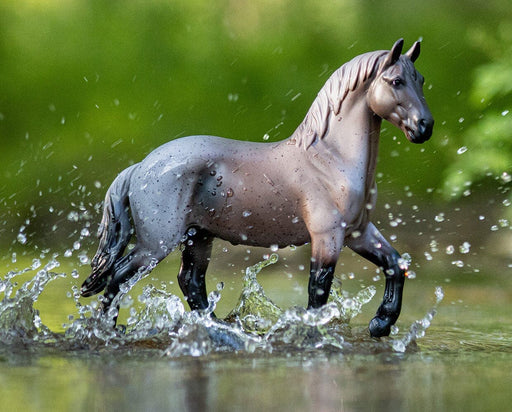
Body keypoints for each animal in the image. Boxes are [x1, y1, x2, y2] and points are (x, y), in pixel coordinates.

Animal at [80, 39, 432, 338]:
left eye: (421, 80)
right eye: (396, 81)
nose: (424, 126)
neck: (329, 160)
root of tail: (141, 166)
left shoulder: (358, 232)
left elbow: (395, 264)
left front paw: (380, 324)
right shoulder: (327, 237)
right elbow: (318, 289)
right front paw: (313, 331)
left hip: (198, 237)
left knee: (190, 281)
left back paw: (219, 327)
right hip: (156, 245)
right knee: (118, 277)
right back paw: (109, 330)